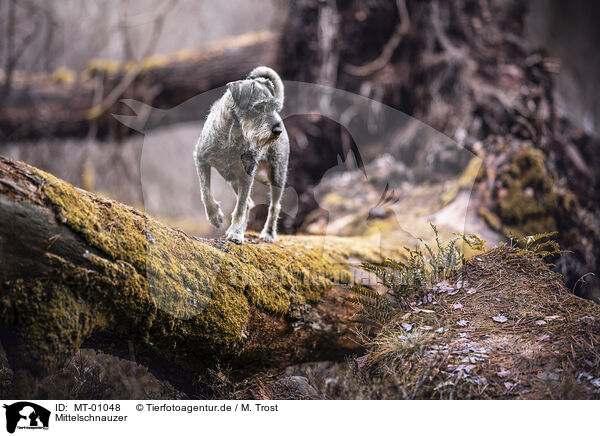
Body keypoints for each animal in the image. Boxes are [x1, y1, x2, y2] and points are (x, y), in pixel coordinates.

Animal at [191, 67, 288, 245]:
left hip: (277, 174)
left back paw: (269, 233)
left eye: (274, 107)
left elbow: (240, 208)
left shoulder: (247, 176)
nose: (277, 130)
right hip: (233, 180)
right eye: (259, 107)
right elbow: (205, 193)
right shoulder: (201, 160)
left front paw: (236, 233)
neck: (232, 136)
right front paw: (215, 216)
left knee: (274, 206)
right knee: (249, 203)